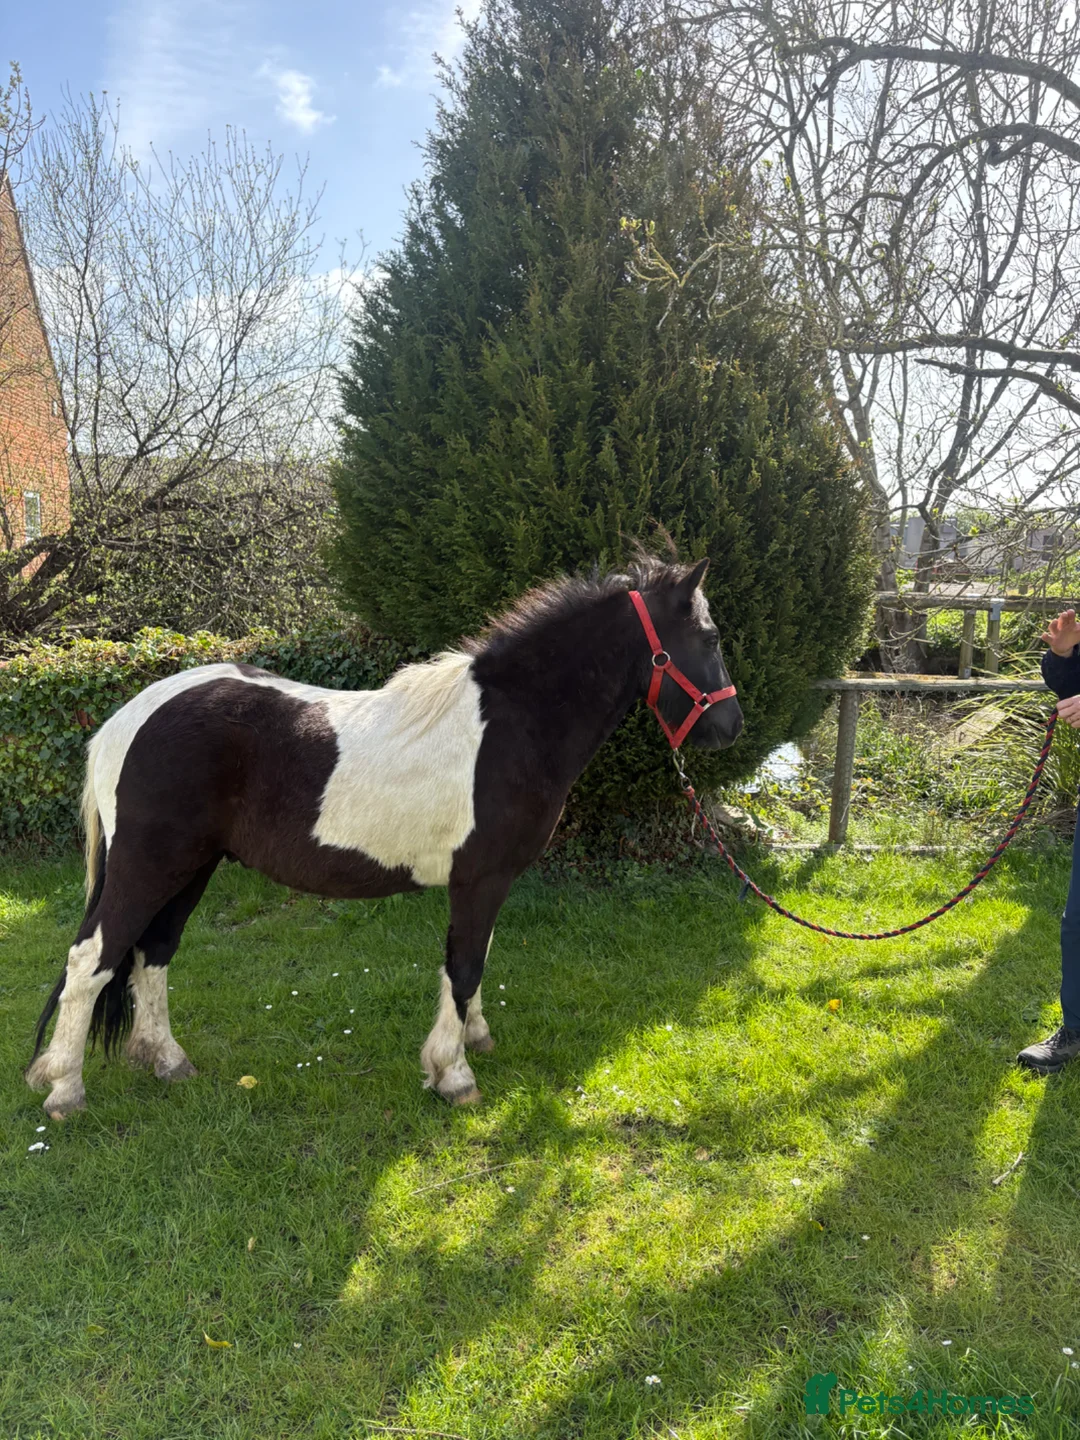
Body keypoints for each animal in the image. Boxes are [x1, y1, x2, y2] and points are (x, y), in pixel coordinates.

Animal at [26, 555, 743, 1119]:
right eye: (708, 636)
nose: (731, 726)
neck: (511, 723)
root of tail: (127, 720)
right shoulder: (480, 878)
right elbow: (464, 965)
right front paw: (453, 1074)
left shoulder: (487, 883)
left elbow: (476, 960)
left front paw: (474, 1038)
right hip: (149, 865)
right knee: (90, 960)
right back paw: (64, 1090)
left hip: (191, 868)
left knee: (153, 953)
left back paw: (168, 1061)